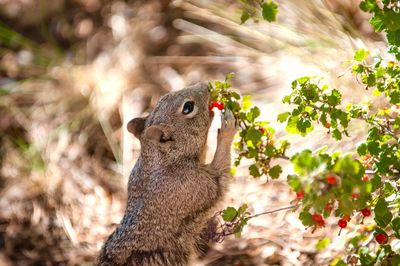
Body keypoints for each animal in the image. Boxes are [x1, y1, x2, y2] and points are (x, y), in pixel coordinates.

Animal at [97, 83, 238, 266]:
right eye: (187, 107)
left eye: (165, 96)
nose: (206, 85)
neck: (161, 161)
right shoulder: (197, 187)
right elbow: (221, 179)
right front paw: (228, 128)